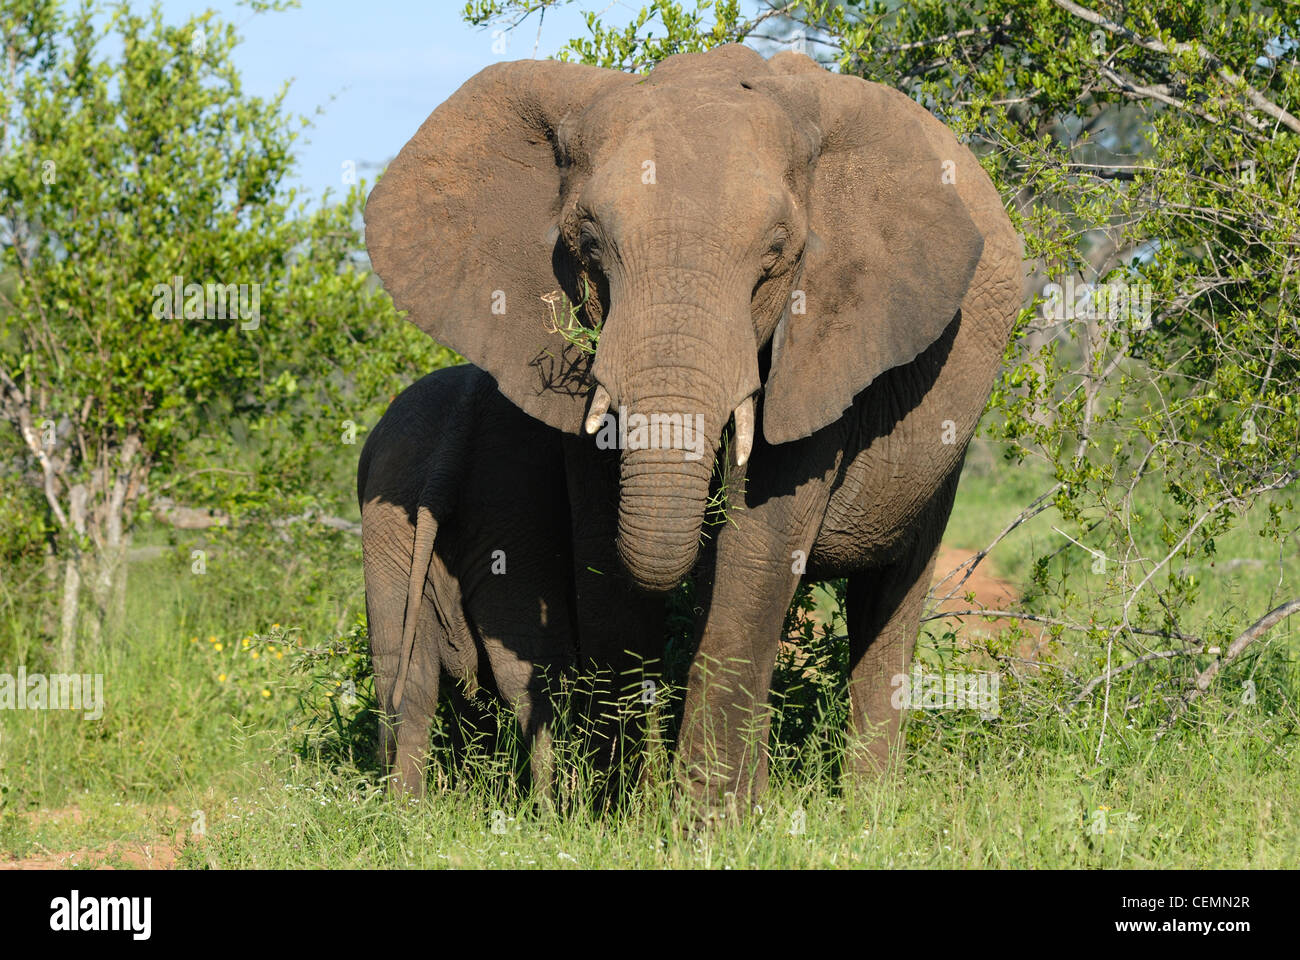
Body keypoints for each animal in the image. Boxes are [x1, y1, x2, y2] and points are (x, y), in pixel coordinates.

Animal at [357, 364, 578, 796]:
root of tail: (447, 451)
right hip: (515, 520)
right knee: (531, 676)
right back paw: (553, 806)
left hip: (387, 523)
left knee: (404, 678)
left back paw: (404, 808)